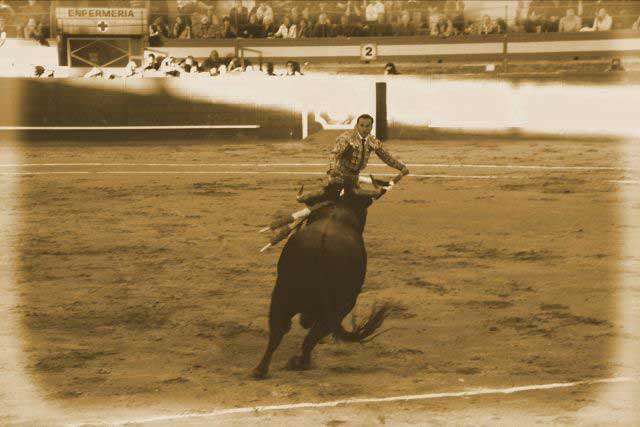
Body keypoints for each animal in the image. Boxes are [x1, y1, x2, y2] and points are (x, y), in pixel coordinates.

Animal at [252, 192, 392, 380]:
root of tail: (323, 244)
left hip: (281, 294)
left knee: (278, 331)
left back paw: (261, 370)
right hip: (339, 307)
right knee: (311, 337)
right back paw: (300, 362)